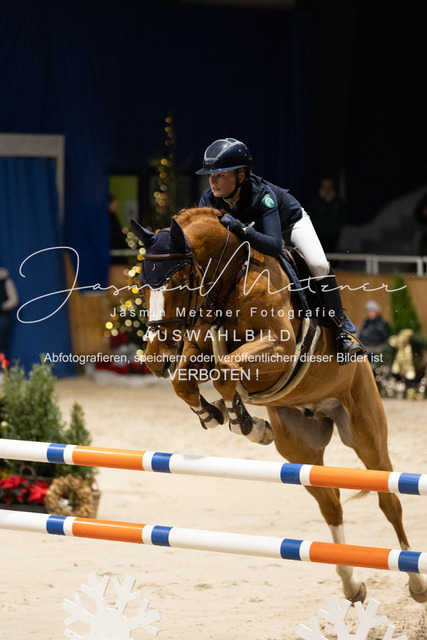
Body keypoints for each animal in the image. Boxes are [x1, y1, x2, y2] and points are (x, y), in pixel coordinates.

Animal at [131, 207, 427, 604]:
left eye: (179, 281)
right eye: (143, 282)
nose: (156, 358)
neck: (233, 279)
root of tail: (320, 410)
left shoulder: (279, 349)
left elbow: (226, 372)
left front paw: (244, 422)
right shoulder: (199, 342)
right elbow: (188, 381)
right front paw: (220, 416)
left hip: (366, 433)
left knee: (388, 499)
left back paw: (416, 582)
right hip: (300, 449)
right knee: (330, 501)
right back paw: (351, 584)